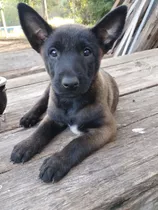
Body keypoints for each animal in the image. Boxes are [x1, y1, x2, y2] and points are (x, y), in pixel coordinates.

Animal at [10, 2, 127, 182]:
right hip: (49, 88)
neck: (71, 102)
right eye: (53, 52)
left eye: (87, 52)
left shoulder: (106, 128)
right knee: (41, 101)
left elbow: (78, 143)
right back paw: (29, 117)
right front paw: (26, 144)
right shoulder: (52, 118)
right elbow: (40, 131)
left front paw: (56, 162)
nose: (70, 84)